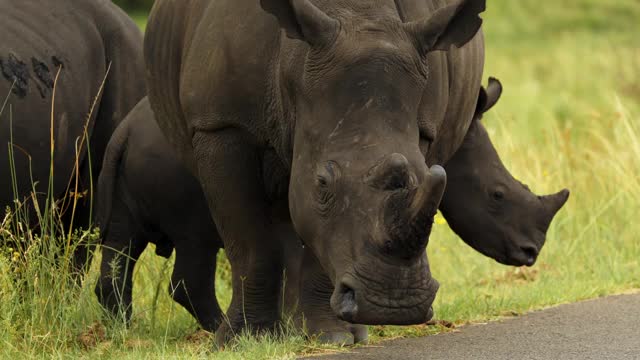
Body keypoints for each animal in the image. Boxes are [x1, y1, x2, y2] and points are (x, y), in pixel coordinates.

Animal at [145, 0, 484, 344]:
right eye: (322, 182)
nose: (394, 305)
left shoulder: (424, 130)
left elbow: (322, 236)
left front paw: (329, 336)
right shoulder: (220, 125)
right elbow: (249, 239)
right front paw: (244, 338)